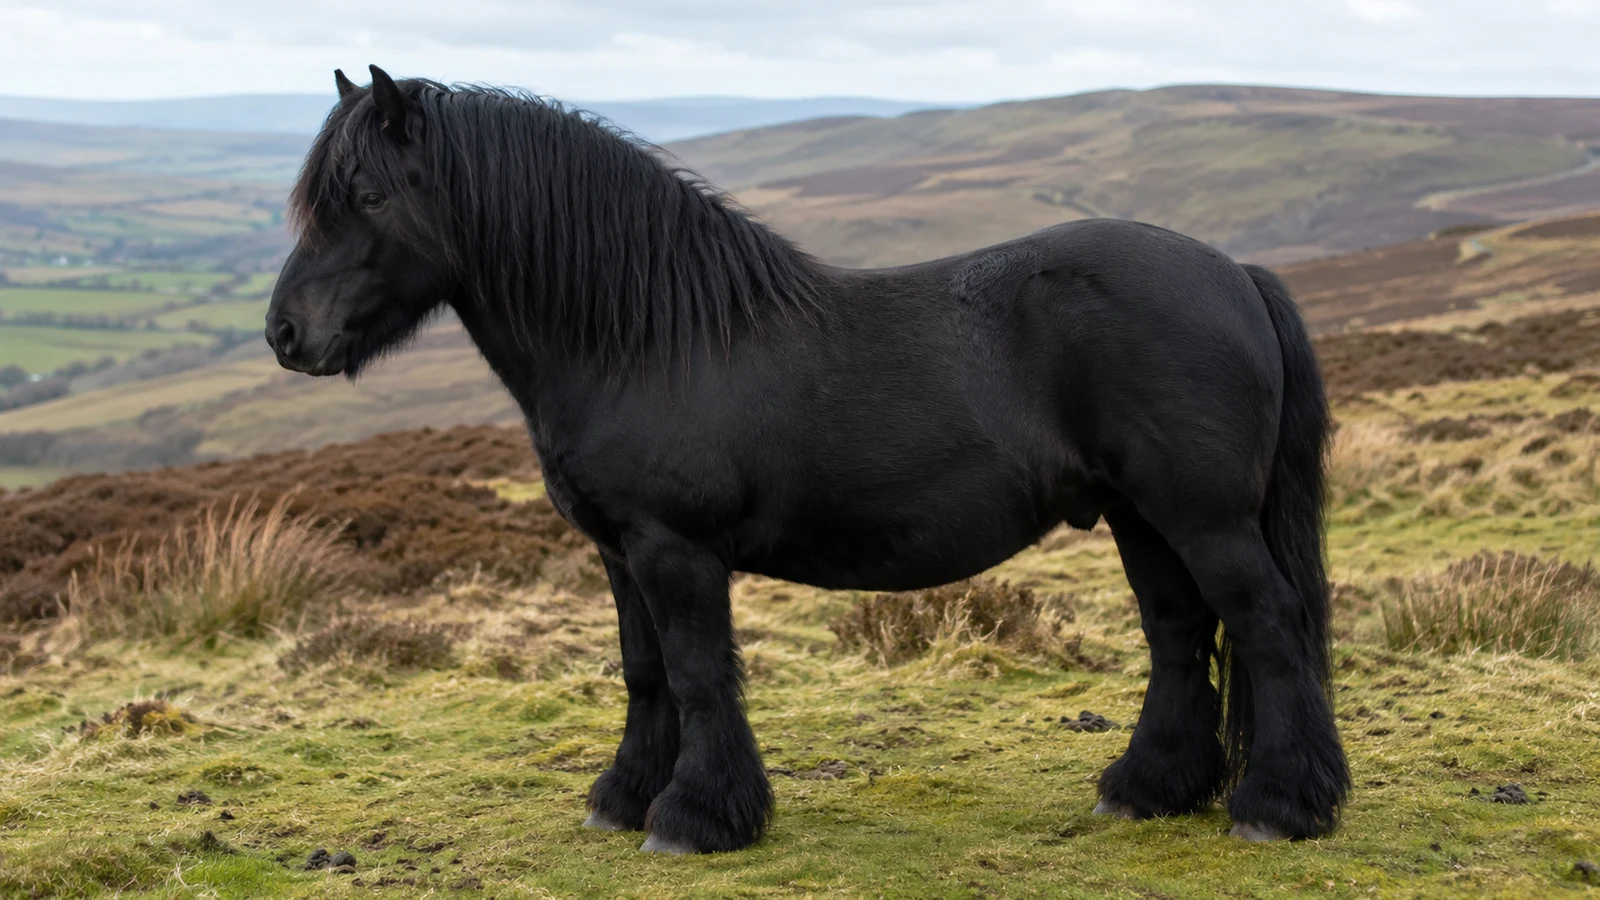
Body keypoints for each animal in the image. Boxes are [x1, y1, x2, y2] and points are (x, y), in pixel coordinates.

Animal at [267, 65, 1350, 854]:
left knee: (1266, 624)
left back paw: (1278, 806)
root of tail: (1236, 273)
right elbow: (644, 672)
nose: (285, 335)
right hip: (1140, 515)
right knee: (1180, 633)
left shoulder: (674, 550)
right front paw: (622, 797)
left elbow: (700, 674)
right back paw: (1146, 789)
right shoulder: (619, 553)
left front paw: (695, 818)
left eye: (364, 193)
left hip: (1204, 517)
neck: (645, 339)